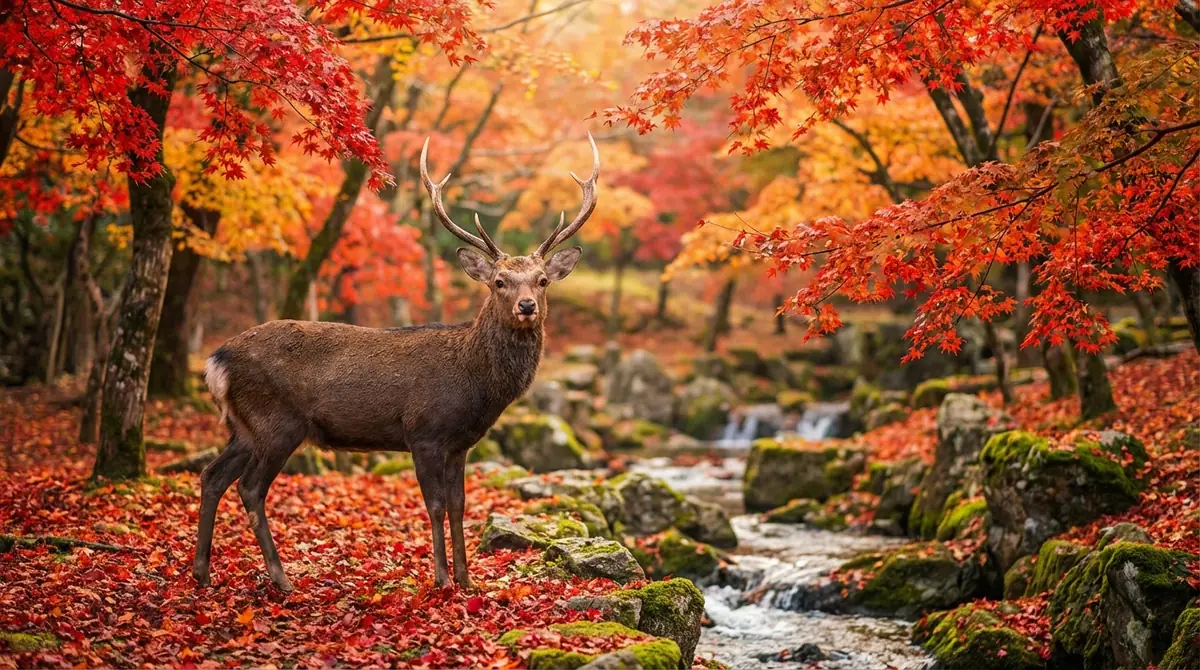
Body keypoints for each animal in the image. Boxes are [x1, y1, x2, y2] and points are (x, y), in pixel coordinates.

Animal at [193, 134, 599, 592]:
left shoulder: (461, 443)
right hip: (276, 422)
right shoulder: (423, 432)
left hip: (243, 427)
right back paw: (281, 578)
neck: (475, 383)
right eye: (499, 282)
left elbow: (459, 505)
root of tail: (216, 360)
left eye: (542, 280)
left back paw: (202, 571)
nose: (527, 305)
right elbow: (435, 504)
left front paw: (467, 579)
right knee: (249, 488)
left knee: (212, 475)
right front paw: (442, 579)